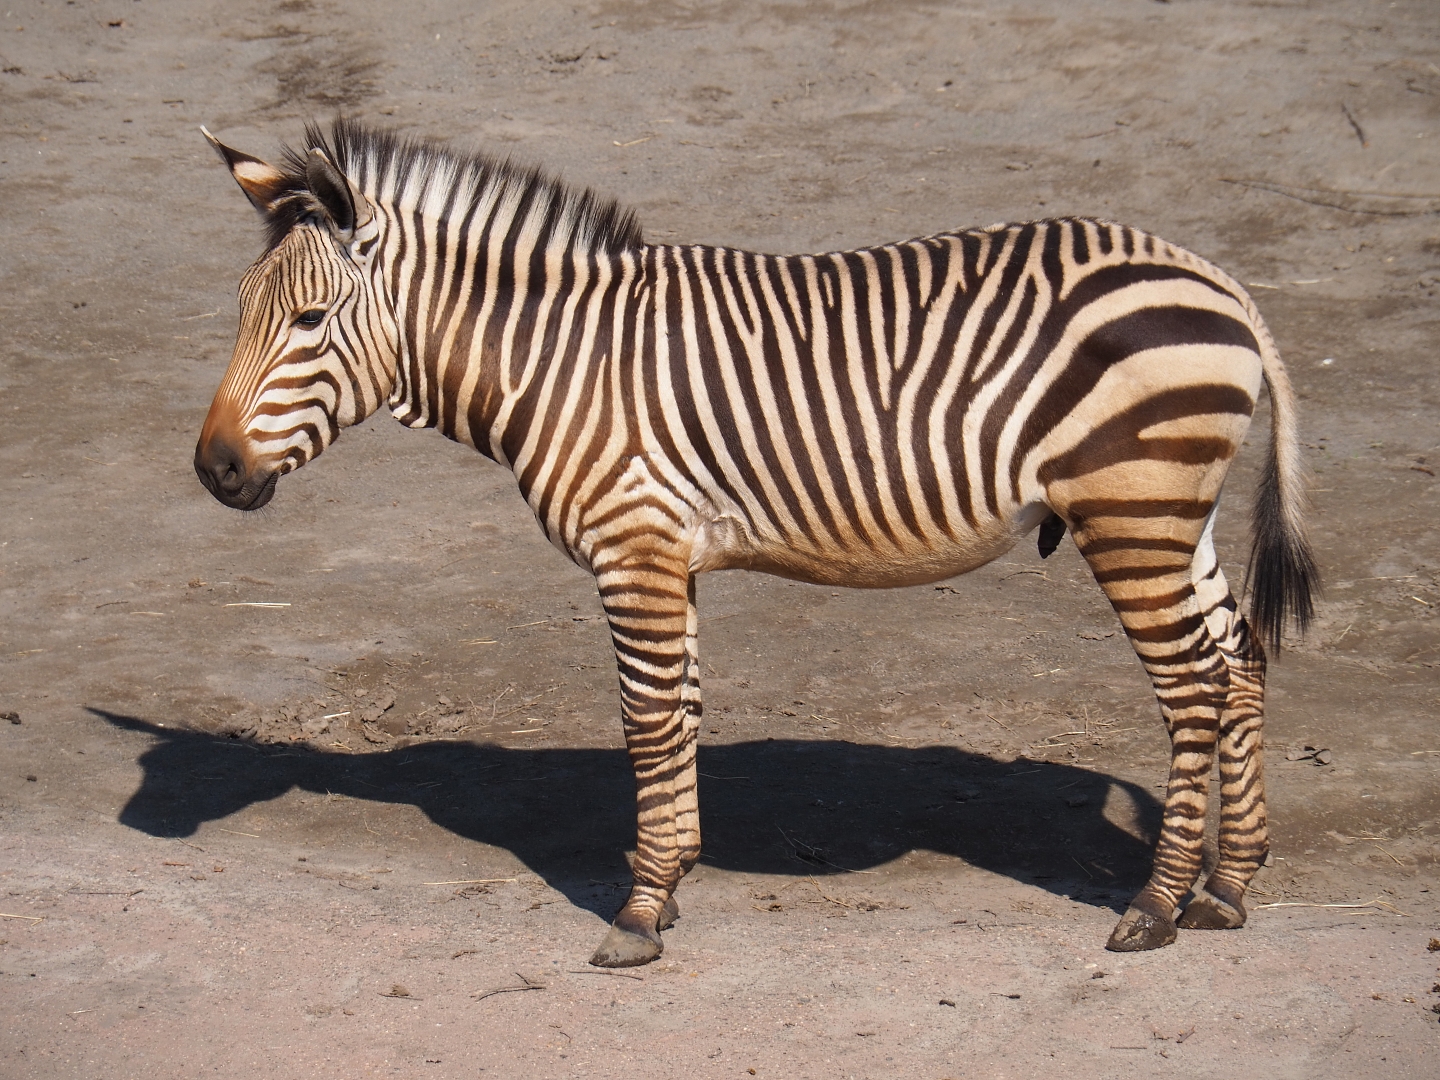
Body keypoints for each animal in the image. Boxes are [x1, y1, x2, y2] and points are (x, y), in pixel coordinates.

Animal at [194, 120, 1316, 968]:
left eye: (308, 320)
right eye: (242, 312)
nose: (213, 472)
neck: (559, 362)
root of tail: (1216, 281)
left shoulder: (632, 547)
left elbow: (647, 720)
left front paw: (637, 916)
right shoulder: (669, 554)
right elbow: (683, 711)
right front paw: (673, 882)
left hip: (1131, 513)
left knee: (1192, 688)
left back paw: (1156, 908)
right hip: (1174, 516)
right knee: (1240, 660)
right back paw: (1227, 887)